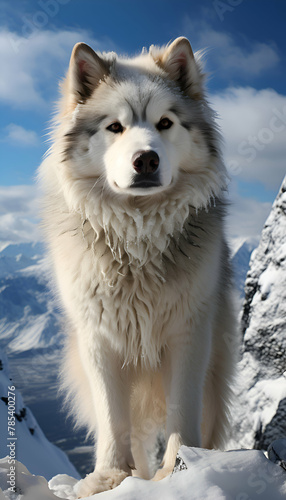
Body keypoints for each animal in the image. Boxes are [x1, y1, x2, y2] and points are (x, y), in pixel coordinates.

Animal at [39, 38, 238, 496]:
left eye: (165, 123)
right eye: (115, 127)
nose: (145, 159)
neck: (137, 238)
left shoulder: (188, 335)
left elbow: (182, 410)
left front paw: (179, 470)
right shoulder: (99, 341)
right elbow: (114, 419)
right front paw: (110, 477)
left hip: (216, 370)